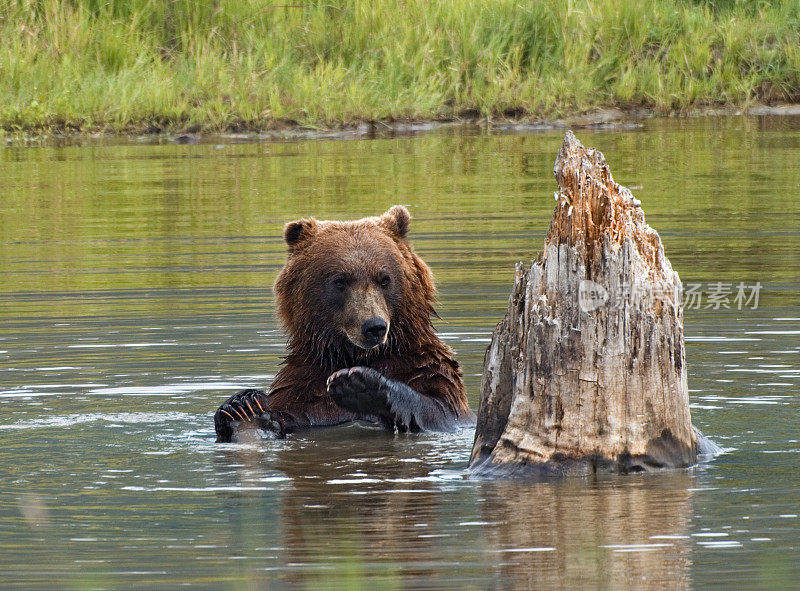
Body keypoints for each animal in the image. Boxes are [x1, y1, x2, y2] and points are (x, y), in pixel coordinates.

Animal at [212, 206, 476, 442]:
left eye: (385, 279)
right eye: (340, 281)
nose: (374, 327)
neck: (354, 354)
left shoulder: (423, 370)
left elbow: (438, 409)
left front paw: (360, 386)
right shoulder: (304, 390)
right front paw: (243, 407)